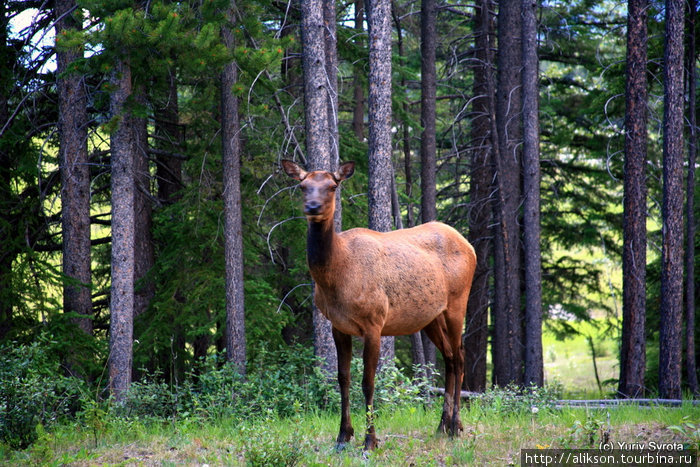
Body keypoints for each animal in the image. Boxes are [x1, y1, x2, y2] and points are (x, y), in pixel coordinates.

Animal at [284, 159, 476, 452]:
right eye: (303, 186)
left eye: (332, 186)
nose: (313, 207)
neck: (337, 275)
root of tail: (470, 246)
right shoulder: (338, 325)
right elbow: (343, 378)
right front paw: (343, 435)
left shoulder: (374, 322)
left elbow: (368, 382)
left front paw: (370, 440)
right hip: (431, 316)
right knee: (450, 357)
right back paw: (444, 424)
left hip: (457, 302)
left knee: (460, 356)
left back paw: (454, 426)